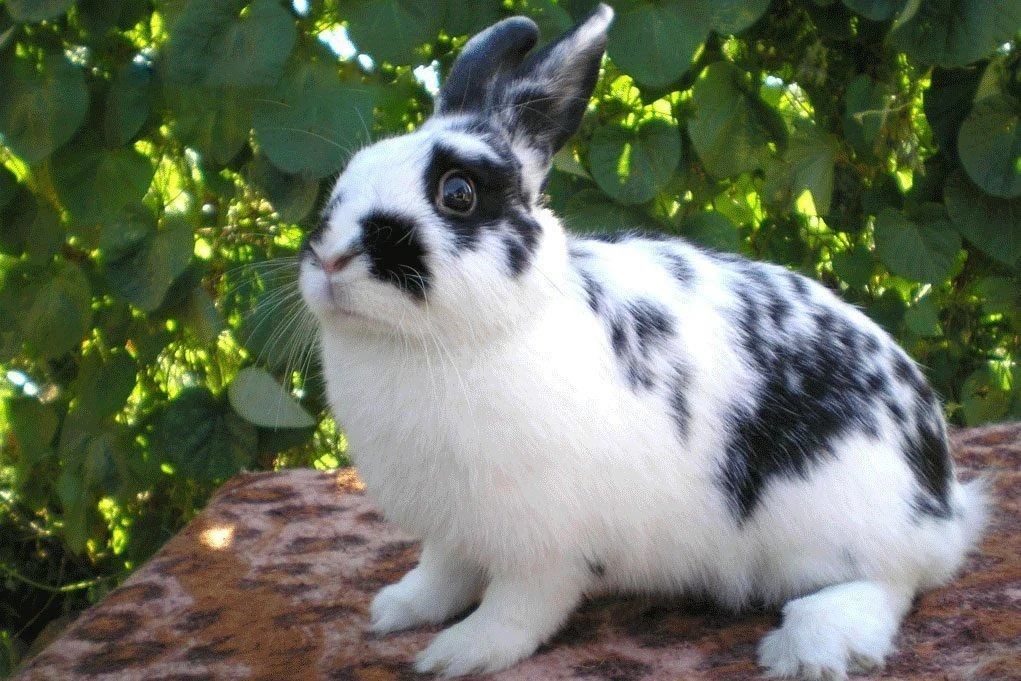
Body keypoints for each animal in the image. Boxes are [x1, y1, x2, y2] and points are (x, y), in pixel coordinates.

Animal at [298, 5, 987, 679]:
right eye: (349, 175)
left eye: (457, 194)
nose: (330, 259)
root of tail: (941, 498)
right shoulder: (453, 529)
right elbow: (441, 572)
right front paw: (397, 610)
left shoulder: (543, 541)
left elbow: (520, 607)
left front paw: (459, 654)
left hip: (831, 517)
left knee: (891, 581)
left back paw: (810, 646)